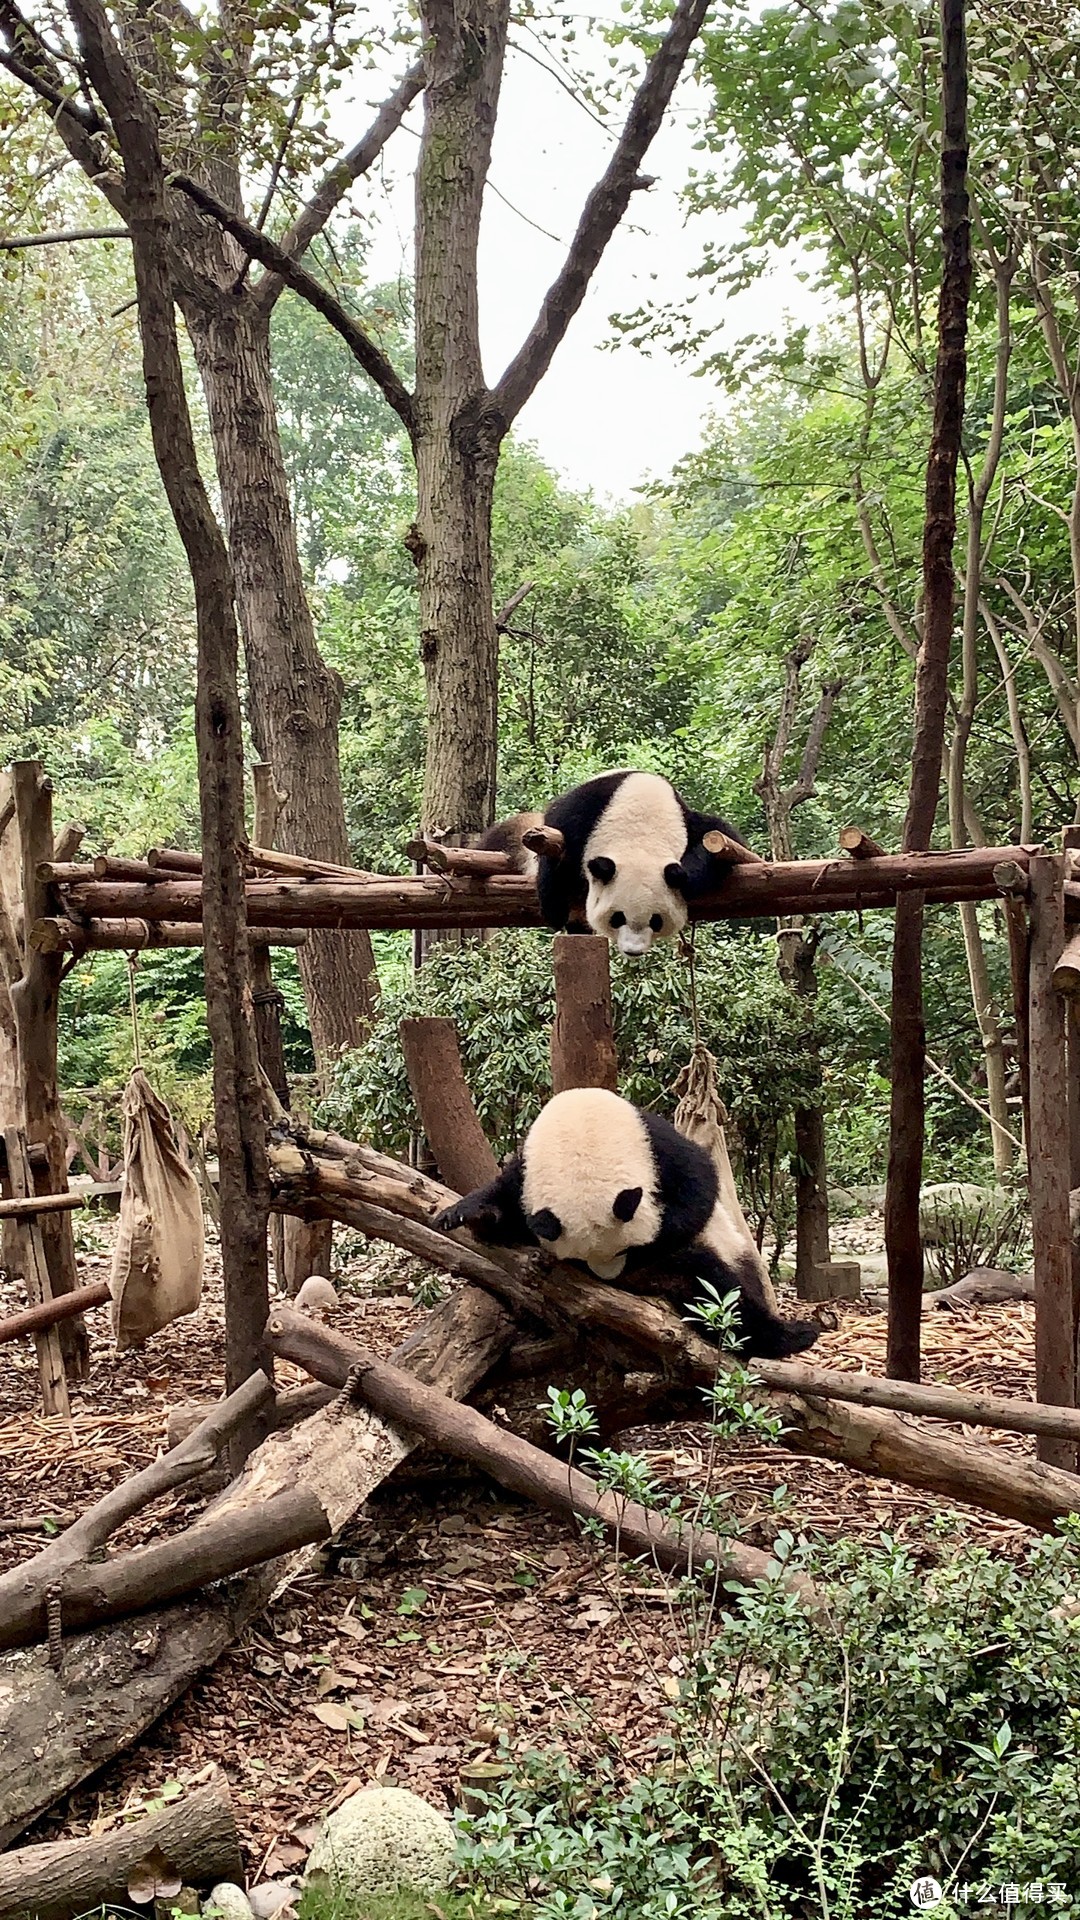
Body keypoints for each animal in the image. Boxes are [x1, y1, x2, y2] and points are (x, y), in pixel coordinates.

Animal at [430, 1090, 814, 1359]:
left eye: (630, 1249)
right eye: (580, 1260)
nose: (613, 1277)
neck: (580, 1131)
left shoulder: (655, 1141)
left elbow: (699, 1186)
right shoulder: (527, 1168)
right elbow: (509, 1208)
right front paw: (473, 1214)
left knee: (721, 1290)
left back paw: (793, 1335)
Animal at [474, 756, 745, 952]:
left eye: (656, 921)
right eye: (618, 918)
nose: (633, 951)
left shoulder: (690, 822)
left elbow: (720, 839)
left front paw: (687, 876)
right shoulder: (583, 811)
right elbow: (554, 847)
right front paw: (554, 909)